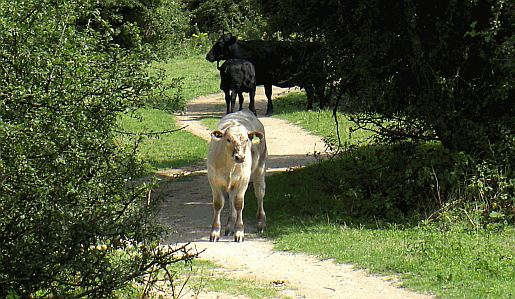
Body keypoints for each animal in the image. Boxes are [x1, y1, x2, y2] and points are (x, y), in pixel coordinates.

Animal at [208, 110, 268, 244]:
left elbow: (239, 203)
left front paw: (239, 231)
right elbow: (218, 204)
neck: (229, 165)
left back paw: (260, 222)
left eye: (246, 140)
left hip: (261, 166)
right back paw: (230, 225)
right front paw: (215, 232)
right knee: (231, 198)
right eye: (228, 139)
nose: (240, 157)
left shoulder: (243, 180)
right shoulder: (213, 180)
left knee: (259, 193)